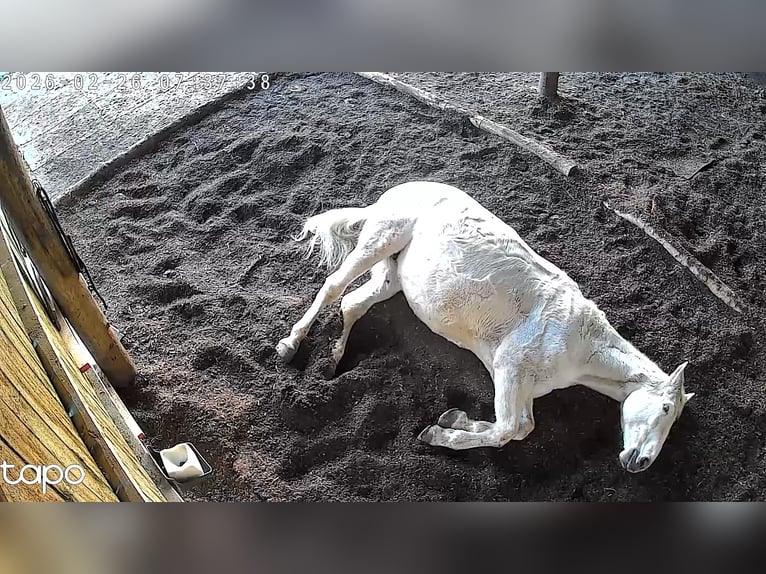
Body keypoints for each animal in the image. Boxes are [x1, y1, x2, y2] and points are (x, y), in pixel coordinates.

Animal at [276, 181, 693, 472]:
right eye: (665, 408)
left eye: (674, 422)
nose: (641, 462)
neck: (579, 345)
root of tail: (393, 193)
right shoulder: (510, 365)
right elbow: (509, 429)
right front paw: (439, 433)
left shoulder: (516, 377)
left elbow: (519, 426)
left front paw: (456, 420)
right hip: (381, 239)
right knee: (334, 288)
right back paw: (290, 345)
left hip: (392, 274)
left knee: (352, 304)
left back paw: (333, 361)